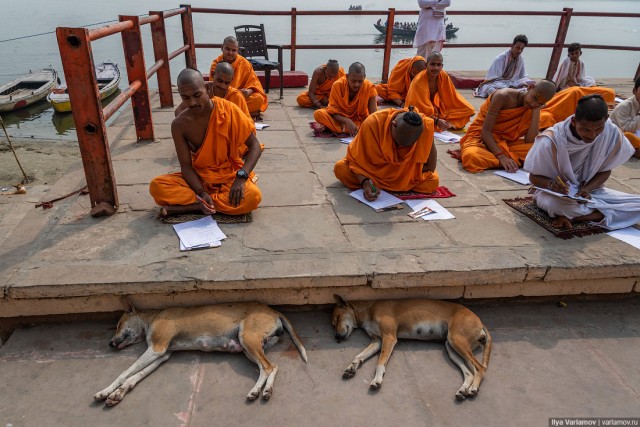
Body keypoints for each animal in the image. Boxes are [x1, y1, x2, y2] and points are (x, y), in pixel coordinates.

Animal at [93, 300, 308, 406]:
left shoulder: (156, 348)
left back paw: (258, 391)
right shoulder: (161, 355)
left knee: (268, 367)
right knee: (271, 367)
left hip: (248, 339)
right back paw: (263, 390)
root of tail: (273, 311)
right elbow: (134, 376)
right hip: (248, 347)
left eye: (119, 324)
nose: (110, 343)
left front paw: (105, 391)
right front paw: (118, 393)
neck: (151, 317)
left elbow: (124, 373)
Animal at [332, 296, 492, 400]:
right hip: (451, 347)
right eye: (333, 324)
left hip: (457, 340)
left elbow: (380, 363)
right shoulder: (377, 341)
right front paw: (352, 366)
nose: (337, 338)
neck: (369, 309)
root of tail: (479, 320)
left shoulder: (389, 338)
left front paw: (377, 380)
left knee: (480, 368)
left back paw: (473, 388)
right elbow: (360, 355)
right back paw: (463, 389)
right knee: (470, 372)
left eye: (338, 318)